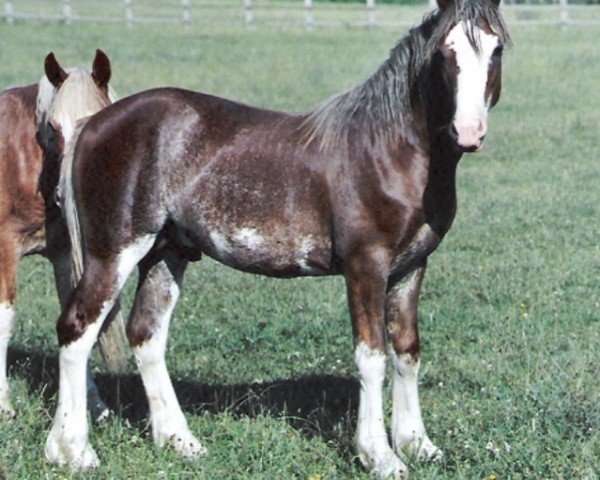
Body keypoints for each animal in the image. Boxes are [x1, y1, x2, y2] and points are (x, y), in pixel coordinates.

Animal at [0, 50, 122, 420]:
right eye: (53, 127)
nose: (62, 192)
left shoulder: (63, 254)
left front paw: (94, 404)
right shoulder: (6, 249)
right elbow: (5, 320)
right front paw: (4, 404)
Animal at [45, 0, 510, 474]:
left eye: (496, 51)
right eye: (444, 53)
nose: (468, 132)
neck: (388, 151)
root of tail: (93, 122)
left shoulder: (411, 267)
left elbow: (407, 352)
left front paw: (418, 444)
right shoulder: (366, 268)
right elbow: (372, 356)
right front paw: (379, 456)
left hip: (167, 252)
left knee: (146, 334)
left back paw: (179, 440)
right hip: (114, 252)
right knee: (76, 328)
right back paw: (71, 450)